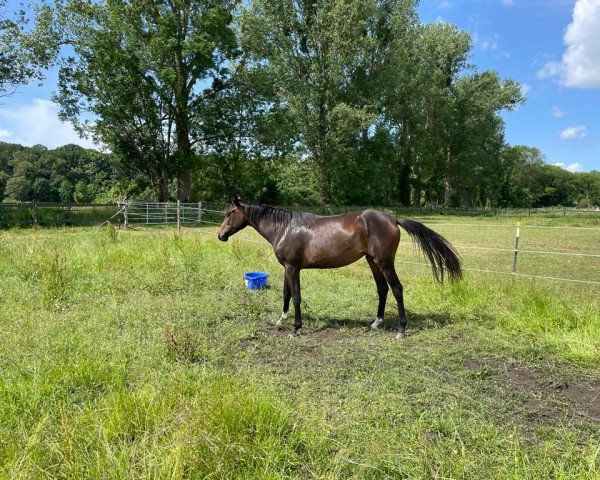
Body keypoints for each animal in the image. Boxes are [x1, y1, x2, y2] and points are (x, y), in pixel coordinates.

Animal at [218, 197, 462, 340]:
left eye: (229, 213)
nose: (220, 235)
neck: (285, 228)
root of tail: (392, 219)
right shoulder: (287, 268)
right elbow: (286, 293)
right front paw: (281, 320)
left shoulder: (293, 267)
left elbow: (296, 296)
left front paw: (295, 328)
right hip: (372, 261)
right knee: (382, 289)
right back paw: (376, 322)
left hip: (384, 262)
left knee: (397, 289)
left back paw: (401, 330)